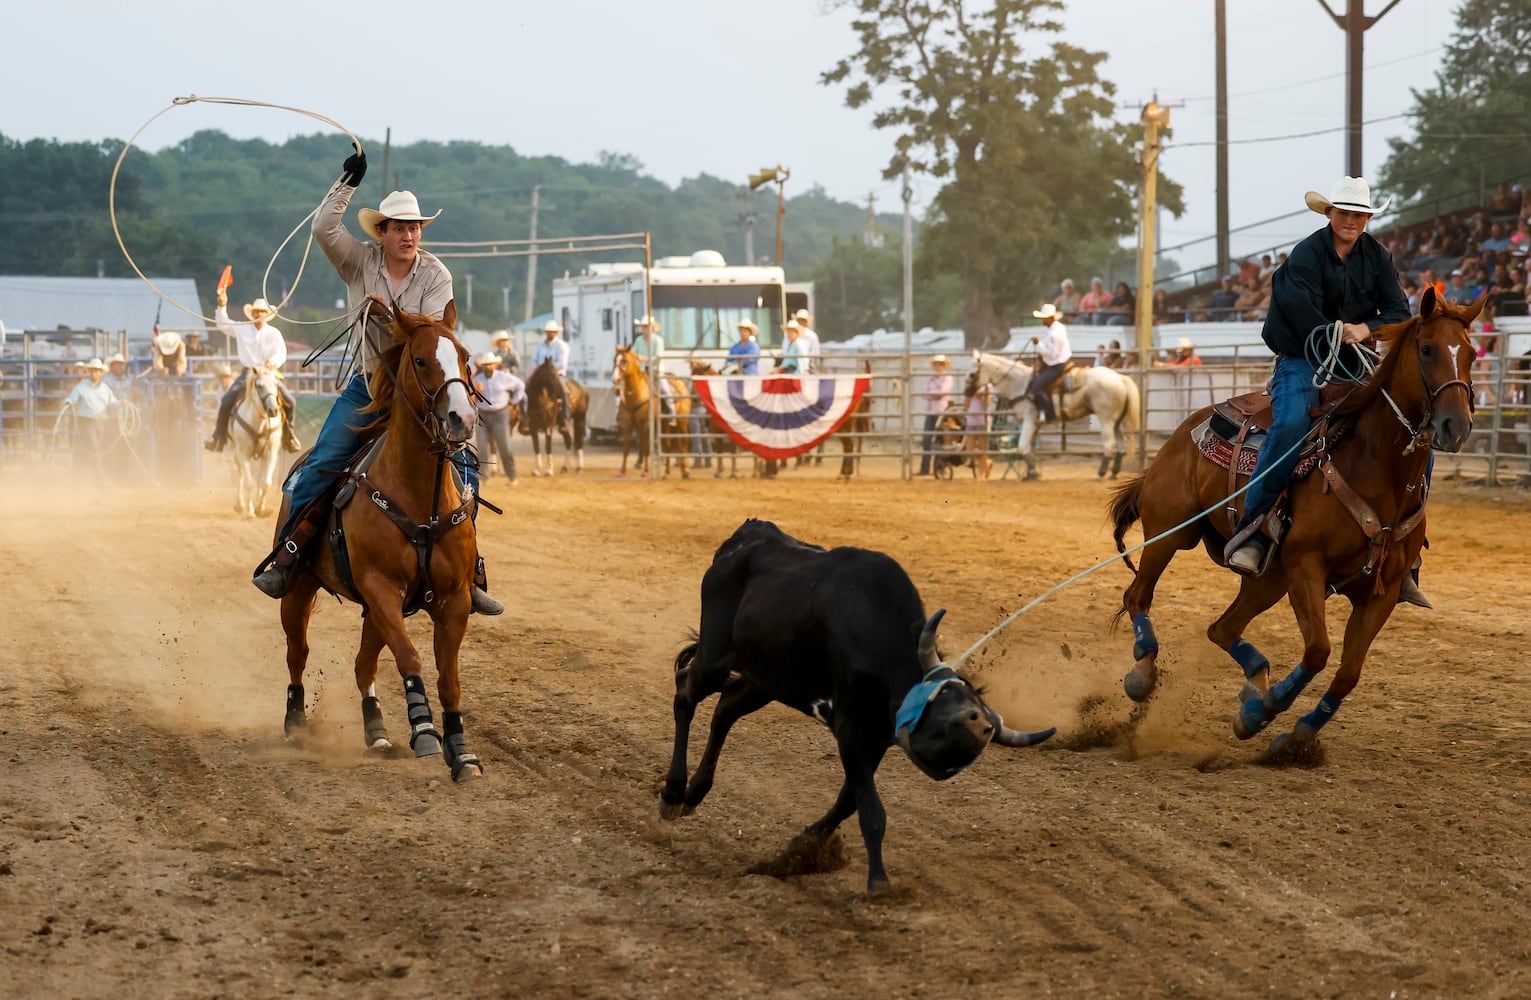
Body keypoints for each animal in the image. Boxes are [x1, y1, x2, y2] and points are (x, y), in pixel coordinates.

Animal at [229, 364, 284, 517]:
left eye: (276, 384)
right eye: (259, 386)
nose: (273, 410)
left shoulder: (271, 454)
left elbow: (266, 483)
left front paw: (260, 508)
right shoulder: (243, 454)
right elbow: (249, 483)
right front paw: (250, 512)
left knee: (259, 477)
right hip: (235, 452)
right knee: (239, 474)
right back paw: (240, 504)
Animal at [275, 294, 483, 781]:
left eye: (465, 358)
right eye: (421, 360)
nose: (462, 419)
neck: (420, 499)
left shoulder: (455, 599)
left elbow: (450, 679)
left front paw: (461, 751)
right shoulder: (382, 587)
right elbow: (409, 657)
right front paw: (424, 732)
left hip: (372, 610)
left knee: (362, 664)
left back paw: (376, 730)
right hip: (299, 591)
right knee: (298, 653)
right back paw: (295, 723)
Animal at [967, 350, 1139, 480]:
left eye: (971, 374)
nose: (966, 392)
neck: (1020, 384)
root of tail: (1120, 378)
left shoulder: (1029, 419)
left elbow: (1022, 446)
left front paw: (1033, 473)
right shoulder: (1035, 424)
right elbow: (1030, 448)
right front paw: (1032, 473)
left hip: (1106, 420)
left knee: (1110, 445)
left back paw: (1100, 473)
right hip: (1116, 422)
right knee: (1121, 445)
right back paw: (1114, 473)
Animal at [1108, 286, 1475, 747]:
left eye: (1471, 353)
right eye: (1427, 349)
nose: (1456, 426)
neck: (1374, 469)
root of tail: (1182, 432)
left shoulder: (1382, 592)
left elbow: (1348, 674)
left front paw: (1295, 736)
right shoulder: (1306, 566)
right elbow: (1318, 651)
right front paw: (1261, 714)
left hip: (1268, 578)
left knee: (1221, 628)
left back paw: (1255, 680)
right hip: (1171, 533)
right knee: (1138, 597)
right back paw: (1143, 675)